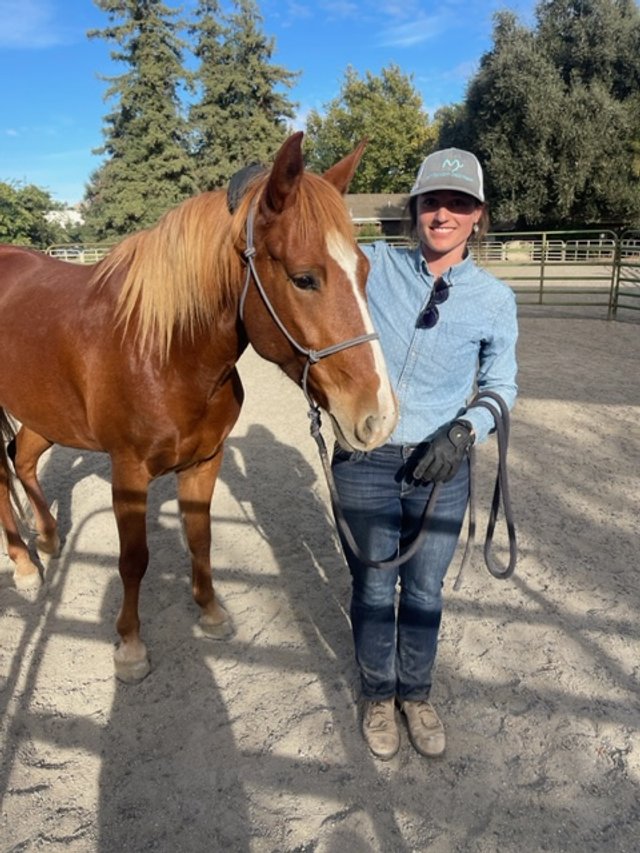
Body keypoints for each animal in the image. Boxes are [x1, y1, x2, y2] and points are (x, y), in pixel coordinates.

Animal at [0, 131, 397, 682]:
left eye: (365, 270)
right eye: (304, 279)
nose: (378, 416)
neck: (164, 351)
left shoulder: (206, 461)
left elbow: (201, 538)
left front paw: (211, 613)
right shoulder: (128, 472)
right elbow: (133, 558)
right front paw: (130, 646)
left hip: (46, 414)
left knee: (24, 461)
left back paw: (49, 540)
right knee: (3, 477)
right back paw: (21, 564)